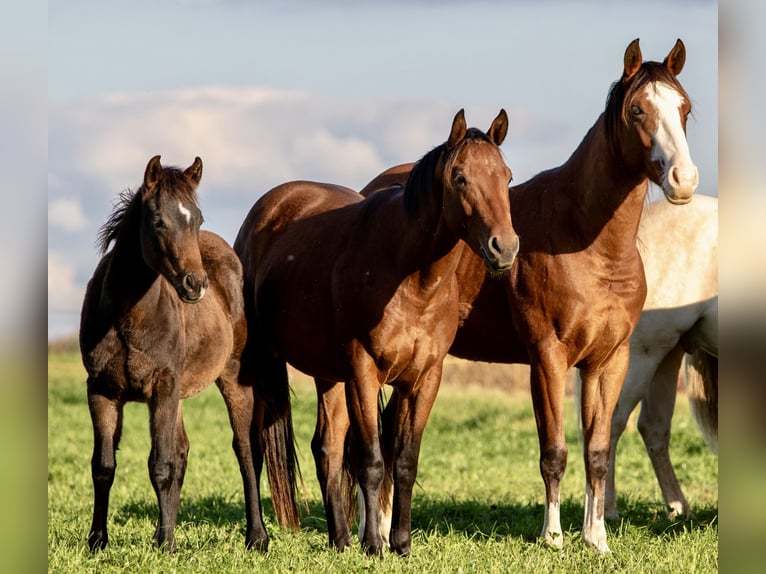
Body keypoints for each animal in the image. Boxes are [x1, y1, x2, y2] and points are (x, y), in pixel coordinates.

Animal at [79, 156, 292, 553]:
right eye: (158, 221)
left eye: (197, 219)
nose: (195, 284)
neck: (127, 315)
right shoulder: (102, 390)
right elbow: (104, 466)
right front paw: (98, 540)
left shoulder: (162, 386)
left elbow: (160, 465)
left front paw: (166, 544)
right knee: (182, 452)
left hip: (234, 382)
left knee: (246, 452)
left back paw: (256, 537)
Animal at [234, 109, 519, 557]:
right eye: (460, 177)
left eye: (506, 176)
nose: (504, 248)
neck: (412, 278)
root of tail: (266, 211)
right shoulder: (363, 372)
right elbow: (370, 460)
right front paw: (374, 544)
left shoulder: (422, 379)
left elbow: (403, 461)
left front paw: (400, 543)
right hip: (260, 364)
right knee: (252, 447)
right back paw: (259, 536)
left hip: (328, 376)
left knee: (326, 448)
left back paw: (339, 539)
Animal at [353, 38, 698, 553]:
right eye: (638, 109)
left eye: (684, 109)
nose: (683, 179)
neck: (589, 245)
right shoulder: (548, 358)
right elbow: (554, 451)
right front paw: (553, 536)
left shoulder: (609, 360)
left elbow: (598, 450)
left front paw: (596, 538)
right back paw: (365, 529)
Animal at [585, 194, 717, 521]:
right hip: (642, 356)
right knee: (612, 423)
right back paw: (607, 511)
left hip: (667, 355)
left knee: (653, 427)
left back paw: (678, 508)